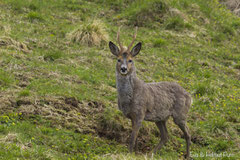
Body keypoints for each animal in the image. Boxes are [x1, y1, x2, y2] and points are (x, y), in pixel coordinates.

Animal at [109, 26, 191, 158]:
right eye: (118, 59)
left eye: (131, 60)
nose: (123, 69)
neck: (129, 98)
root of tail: (190, 96)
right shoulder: (132, 116)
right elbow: (135, 137)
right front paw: (135, 153)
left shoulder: (140, 113)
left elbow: (132, 138)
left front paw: (130, 153)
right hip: (160, 118)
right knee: (165, 136)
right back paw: (150, 154)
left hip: (180, 114)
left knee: (187, 133)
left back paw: (187, 156)